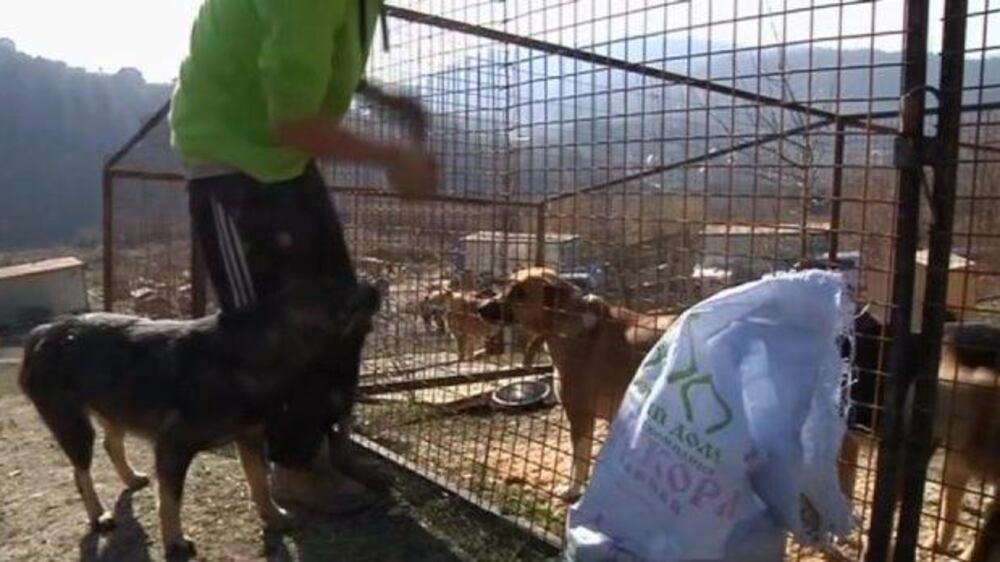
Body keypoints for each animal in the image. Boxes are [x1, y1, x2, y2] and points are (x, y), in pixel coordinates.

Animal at [19, 278, 378, 556]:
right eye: (337, 291)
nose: (376, 286)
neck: (245, 357)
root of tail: (42, 332)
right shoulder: (172, 447)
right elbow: (170, 500)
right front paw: (175, 543)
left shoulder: (249, 437)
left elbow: (259, 482)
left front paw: (274, 517)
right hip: (74, 425)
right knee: (81, 473)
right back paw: (99, 516)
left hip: (114, 408)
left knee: (111, 445)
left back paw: (131, 479)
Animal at [478, 266, 680, 498]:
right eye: (505, 287)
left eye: (520, 293)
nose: (480, 307)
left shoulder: (579, 415)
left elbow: (579, 461)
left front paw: (573, 489)